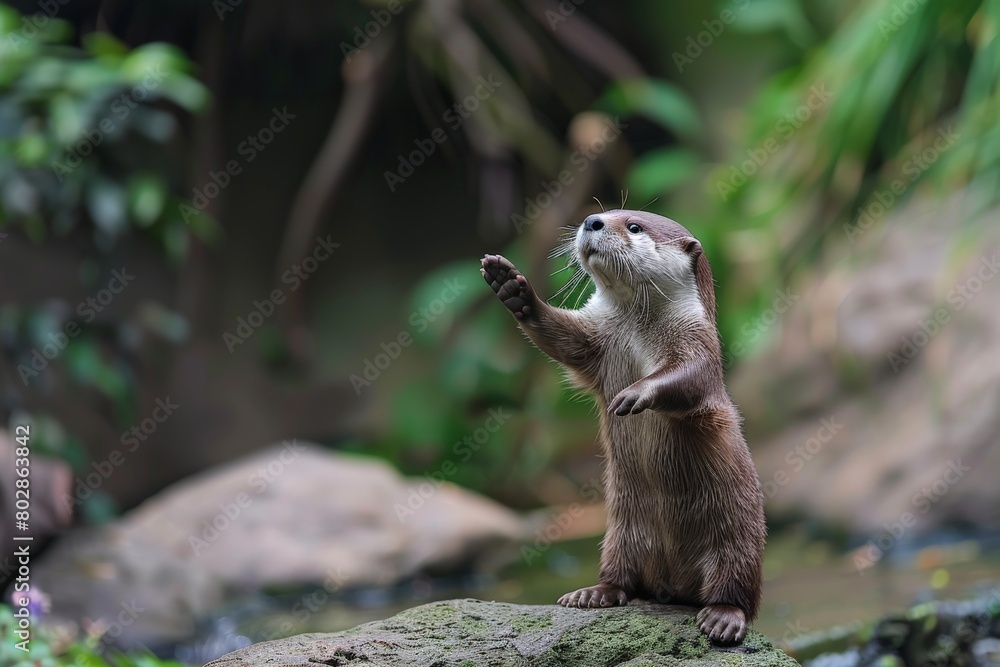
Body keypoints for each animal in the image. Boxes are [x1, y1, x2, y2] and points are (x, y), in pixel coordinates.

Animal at [481, 209, 766, 645]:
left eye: (633, 226)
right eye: (606, 213)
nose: (592, 220)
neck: (636, 333)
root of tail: (675, 586)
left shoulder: (698, 342)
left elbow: (689, 378)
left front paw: (635, 393)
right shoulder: (596, 338)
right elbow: (562, 338)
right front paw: (512, 288)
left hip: (739, 537)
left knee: (738, 589)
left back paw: (723, 617)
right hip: (620, 534)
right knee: (624, 580)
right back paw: (594, 593)